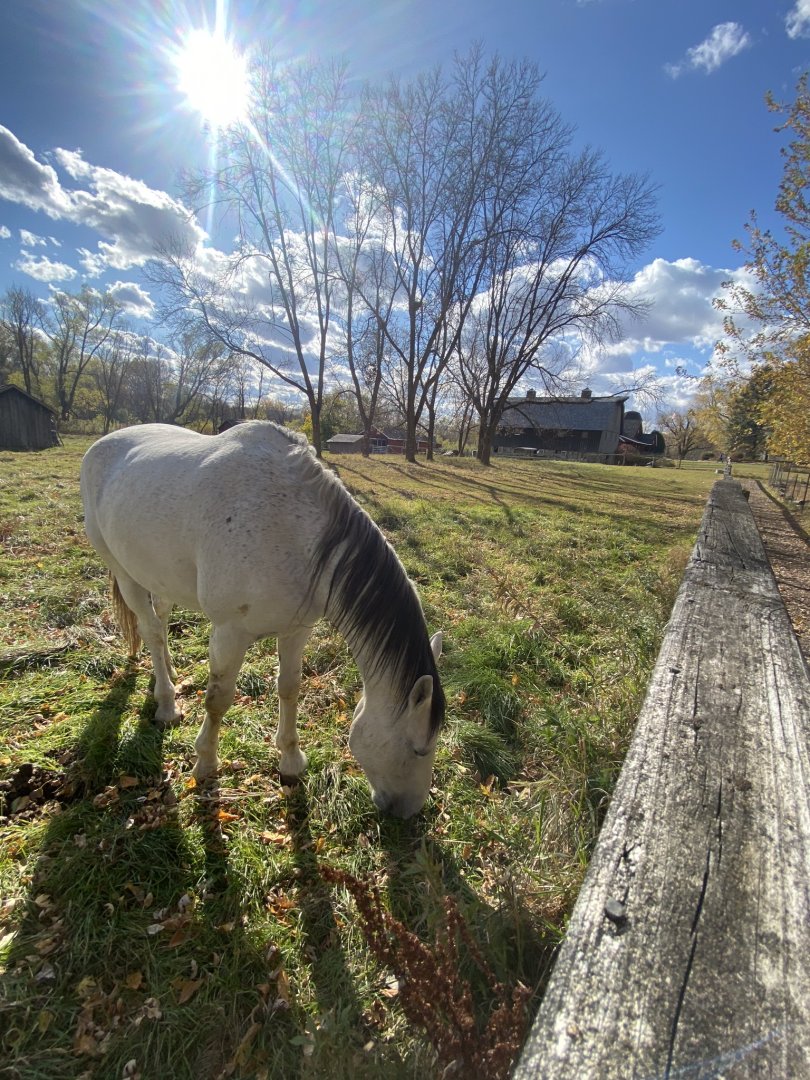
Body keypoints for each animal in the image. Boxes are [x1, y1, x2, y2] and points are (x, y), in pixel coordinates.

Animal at [80, 421, 444, 818]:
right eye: (418, 749)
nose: (408, 811)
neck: (295, 533)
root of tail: (101, 444)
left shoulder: (297, 630)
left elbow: (289, 688)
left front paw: (290, 760)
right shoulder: (229, 633)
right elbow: (218, 700)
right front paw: (205, 763)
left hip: (158, 574)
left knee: (159, 621)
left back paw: (171, 673)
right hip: (123, 571)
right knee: (151, 631)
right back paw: (167, 702)